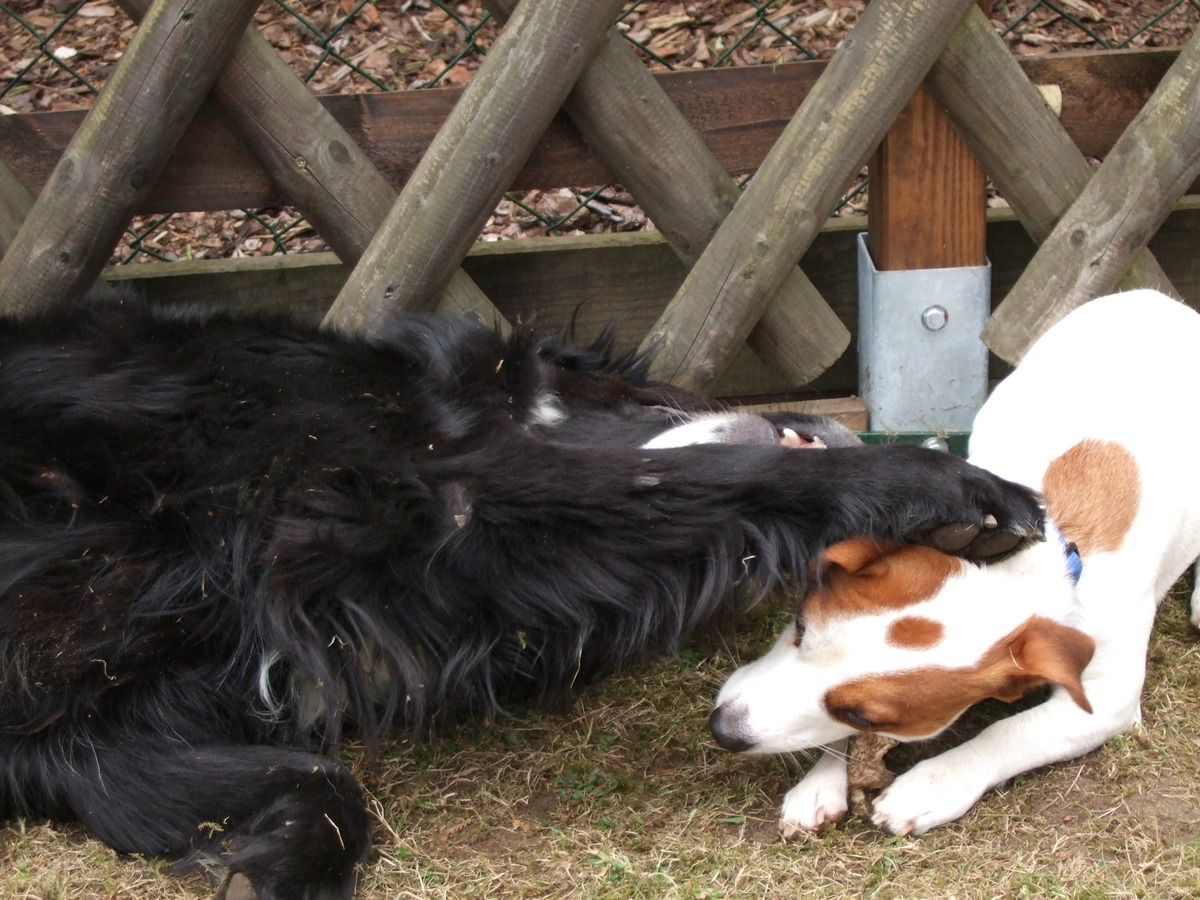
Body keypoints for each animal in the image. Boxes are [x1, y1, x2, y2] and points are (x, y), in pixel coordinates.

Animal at [0, 293, 1043, 899]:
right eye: (651, 396)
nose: (825, 423)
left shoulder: (93, 734)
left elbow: (321, 787)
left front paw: (271, 867)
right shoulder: (449, 489)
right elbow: (710, 477)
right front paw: (945, 489)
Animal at [711, 288, 1200, 839]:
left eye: (867, 716)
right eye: (798, 626)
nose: (722, 729)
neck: (1030, 555)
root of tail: (1156, 296)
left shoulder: (1105, 696)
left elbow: (1009, 731)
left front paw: (933, 784)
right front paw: (822, 780)